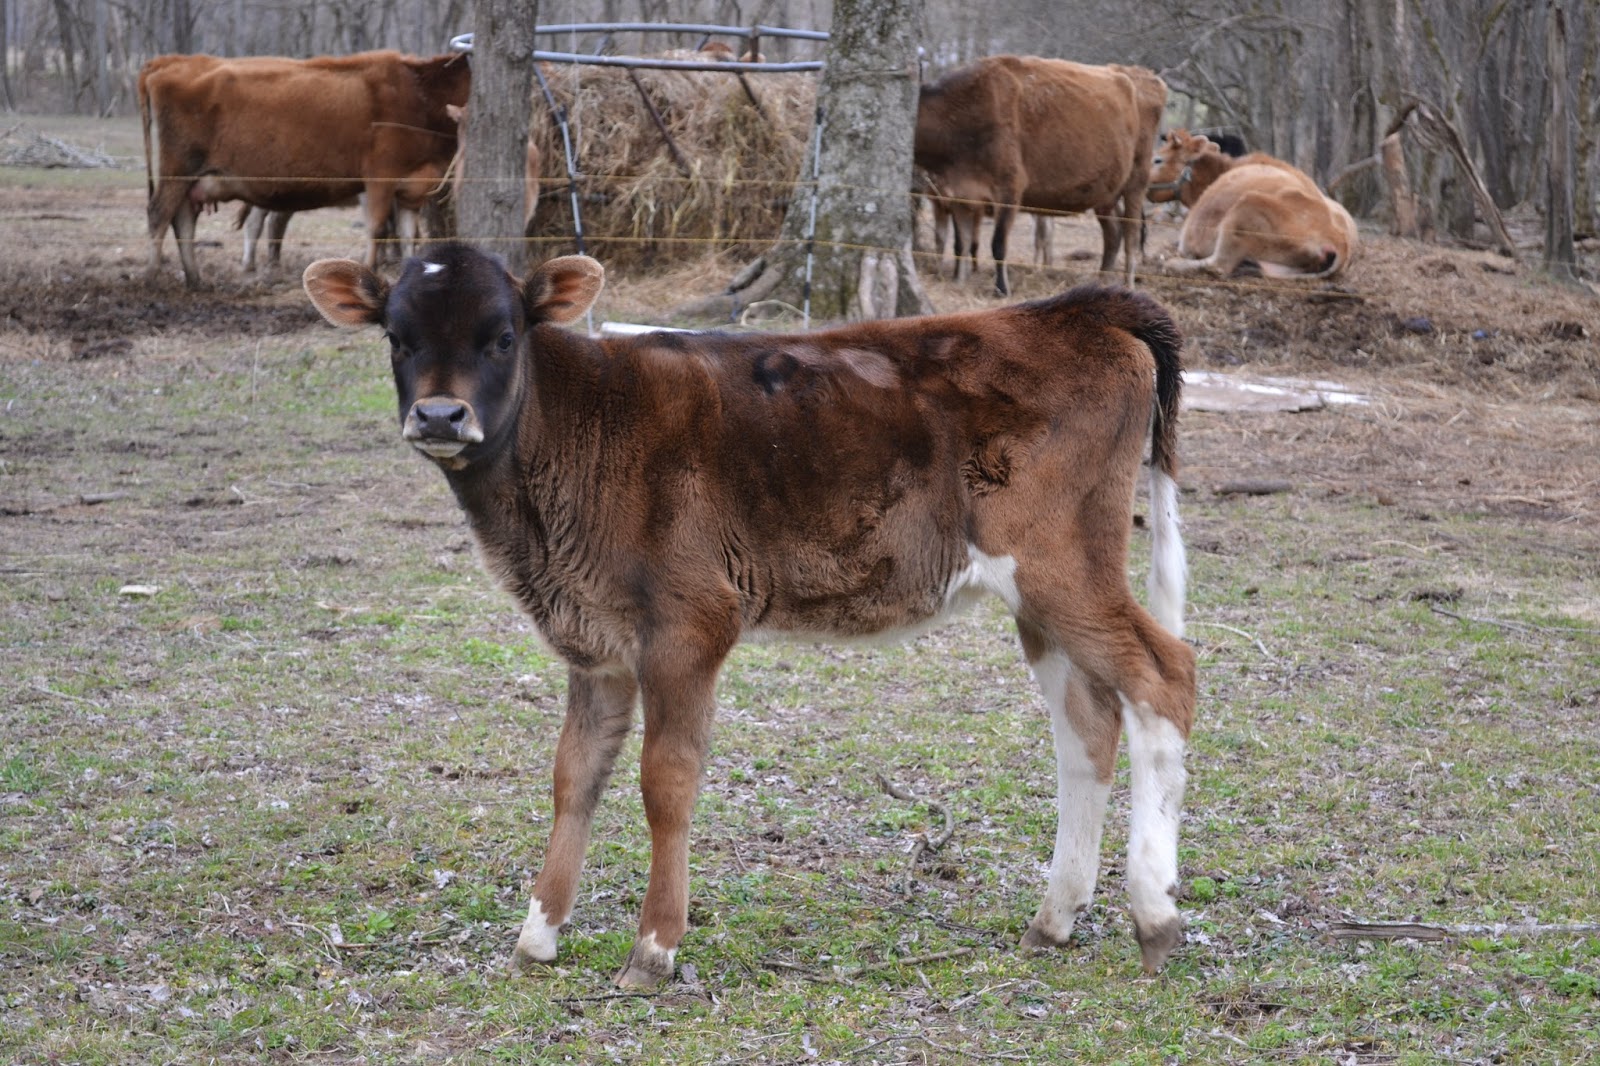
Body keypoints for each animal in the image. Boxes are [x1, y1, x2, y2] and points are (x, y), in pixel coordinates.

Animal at [139, 49, 469, 287]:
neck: (419, 92)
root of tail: (171, 61)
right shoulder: (379, 178)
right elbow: (377, 229)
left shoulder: (412, 187)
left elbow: (408, 234)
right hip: (177, 169)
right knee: (159, 214)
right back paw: (153, 276)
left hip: (193, 179)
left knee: (183, 219)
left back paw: (195, 279)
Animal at [914, 56, 1166, 296]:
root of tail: (1145, 76)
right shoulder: (961, 195)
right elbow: (961, 243)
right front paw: (958, 281)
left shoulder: (1009, 189)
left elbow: (998, 243)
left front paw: (1001, 289)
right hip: (1107, 191)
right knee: (1113, 233)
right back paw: (1102, 281)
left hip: (1137, 181)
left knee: (1131, 234)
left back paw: (1129, 283)